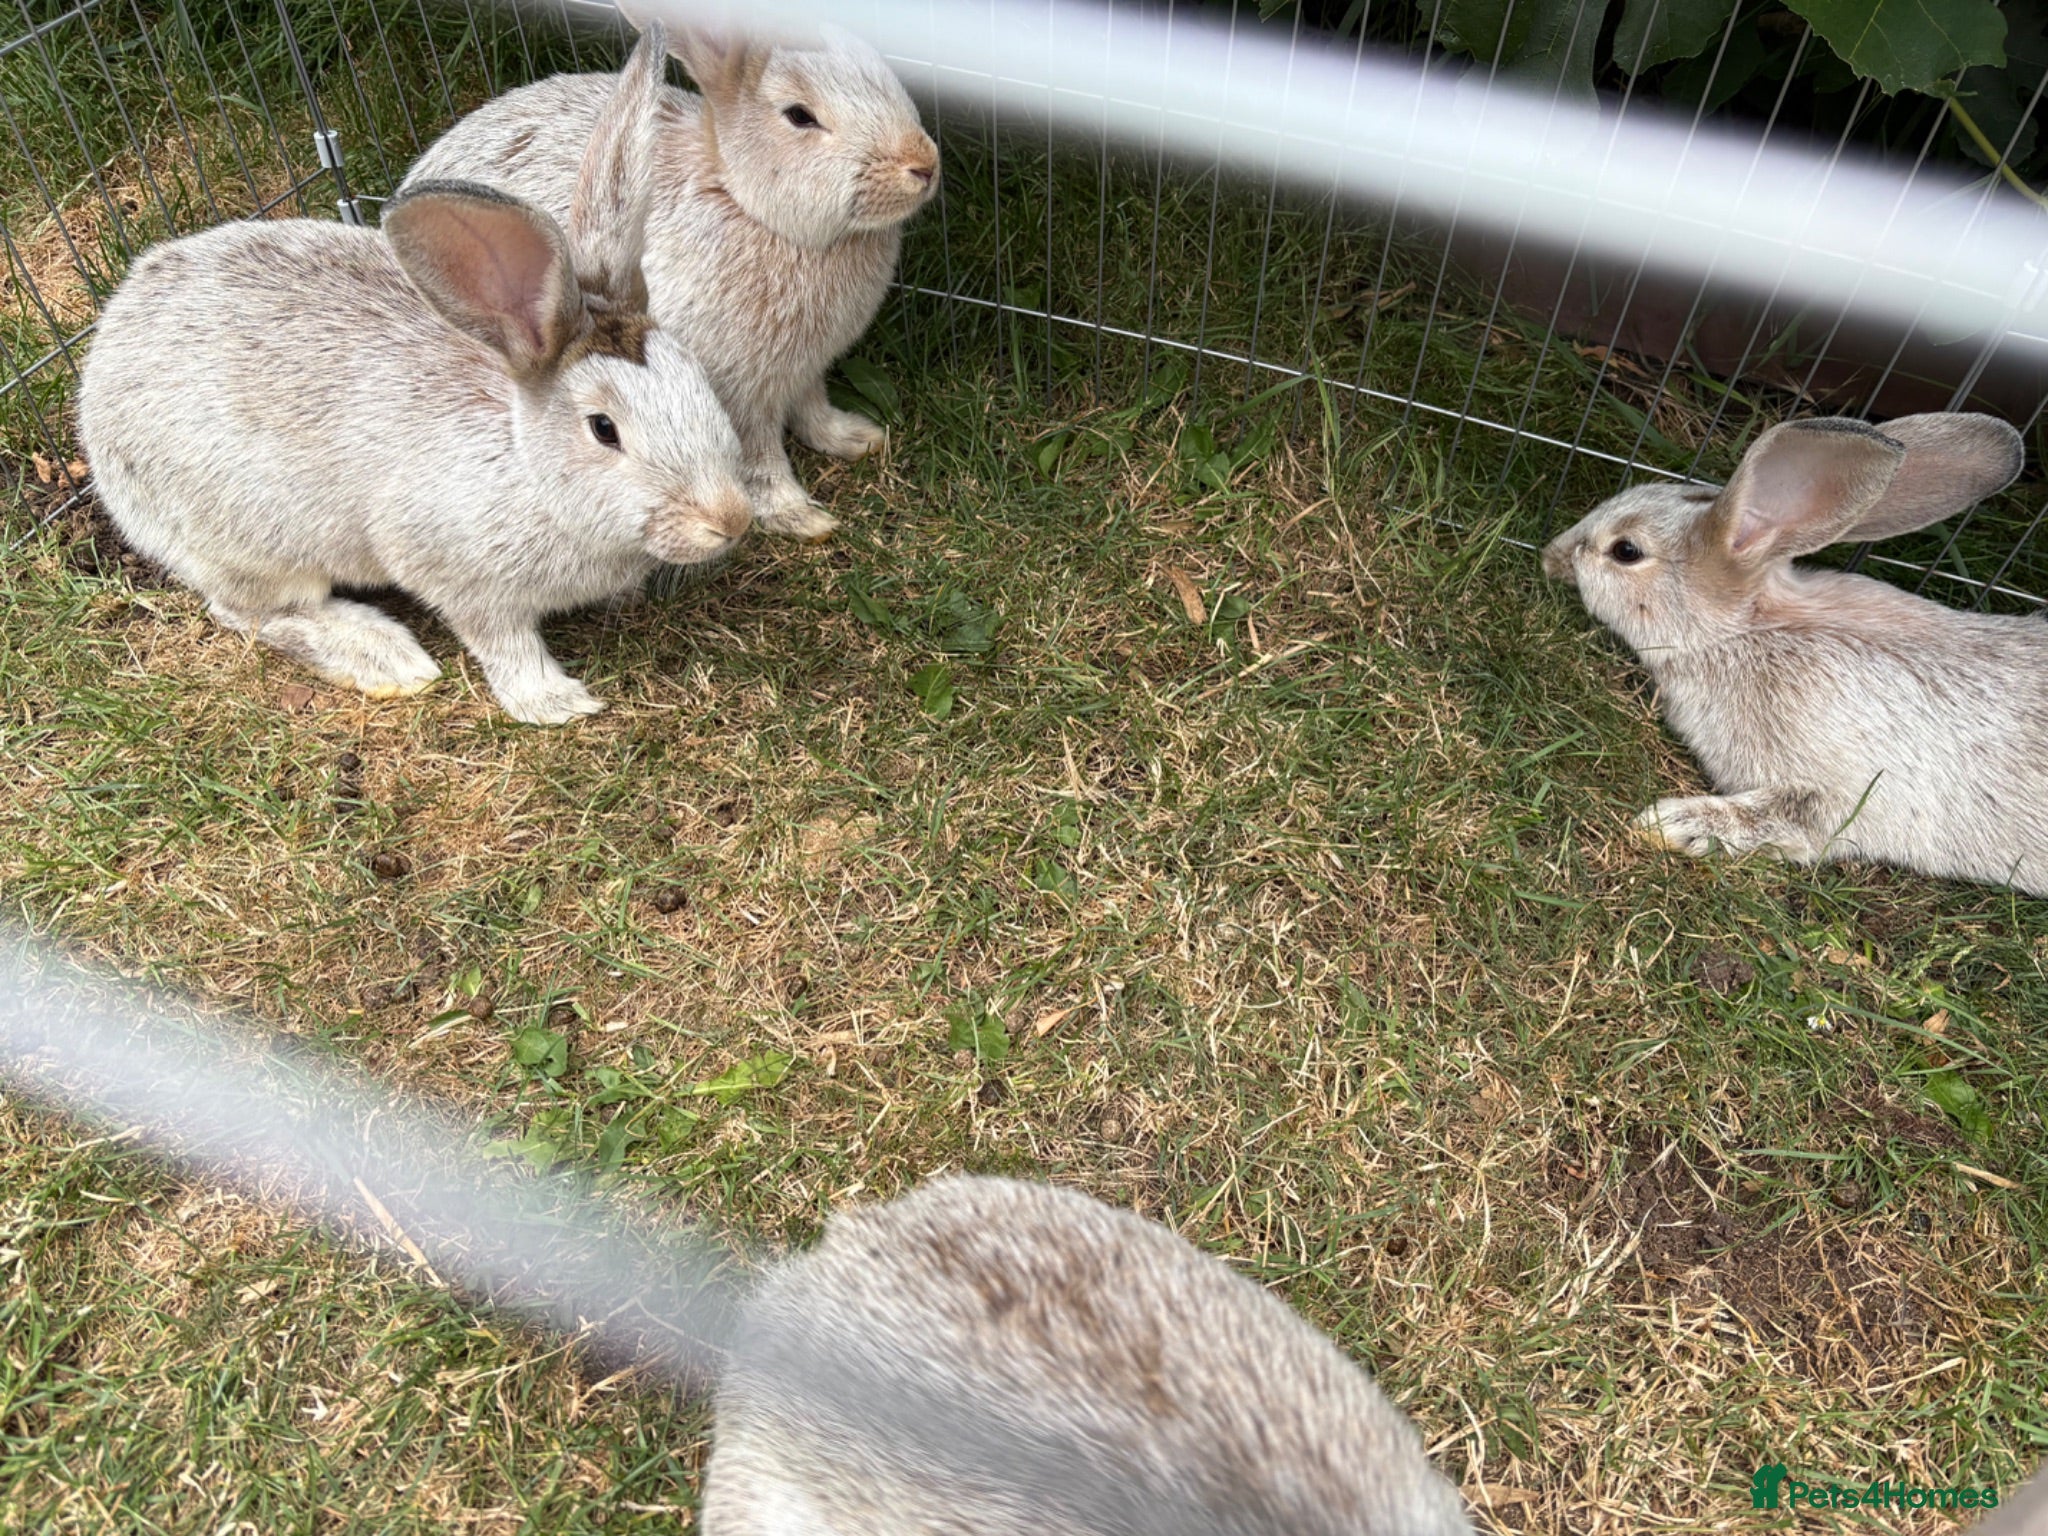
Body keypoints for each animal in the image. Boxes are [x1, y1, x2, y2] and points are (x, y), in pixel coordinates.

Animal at [77, 24, 750, 726]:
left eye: (697, 379)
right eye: (603, 429)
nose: (731, 520)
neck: (527, 469)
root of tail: (102, 363)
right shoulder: (462, 579)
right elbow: (504, 643)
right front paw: (558, 703)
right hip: (248, 545)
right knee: (248, 611)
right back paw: (387, 657)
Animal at [401, 11, 939, 541]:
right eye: (800, 116)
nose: (924, 164)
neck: (748, 206)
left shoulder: (806, 370)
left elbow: (814, 409)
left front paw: (856, 438)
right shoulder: (738, 394)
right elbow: (761, 457)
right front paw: (800, 518)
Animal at [1543, 412, 2048, 895]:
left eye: (1626, 550)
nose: (1552, 556)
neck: (1747, 630)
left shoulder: (1846, 789)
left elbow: (1784, 817)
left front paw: (1668, 824)